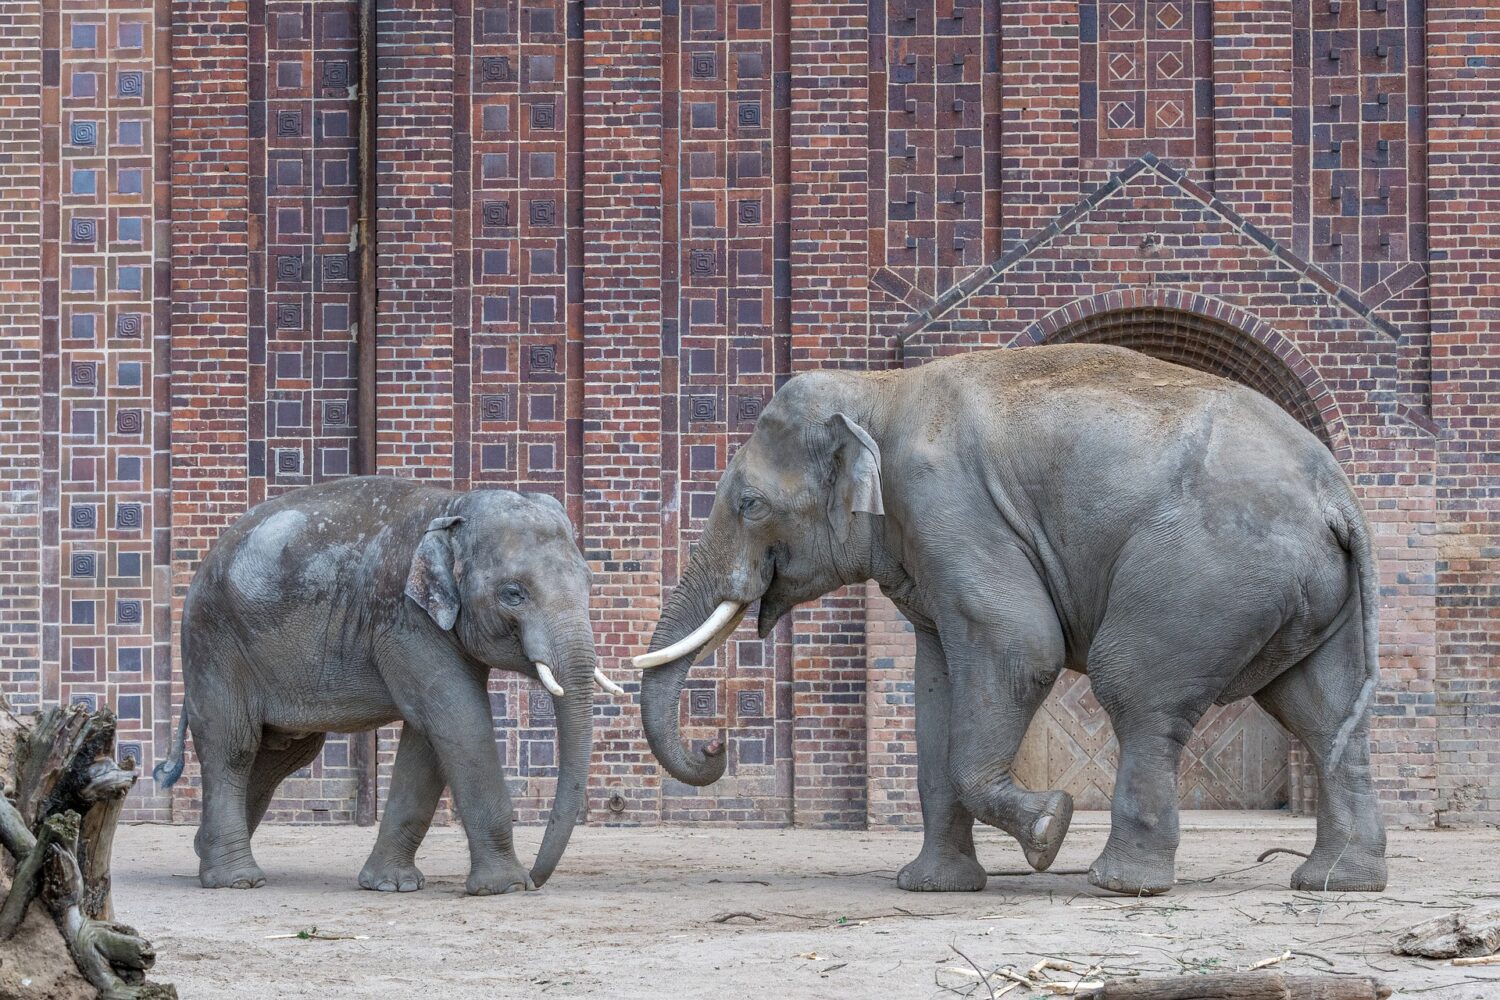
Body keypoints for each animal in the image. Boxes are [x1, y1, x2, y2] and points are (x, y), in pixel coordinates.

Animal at [153, 476, 621, 893]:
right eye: (513, 594)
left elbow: (429, 740)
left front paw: (392, 885)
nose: (538, 879)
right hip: (213, 641)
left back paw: (203, 849)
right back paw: (236, 880)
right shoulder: (403, 618)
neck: (452, 505)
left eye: (590, 582)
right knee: (233, 746)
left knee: (282, 753)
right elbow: (459, 721)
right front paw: (505, 887)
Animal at [633, 346, 1380, 899]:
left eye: (750, 505)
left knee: (1136, 689)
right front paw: (933, 887)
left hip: (1206, 571)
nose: (716, 744)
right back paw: (1335, 882)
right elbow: (936, 692)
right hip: (1304, 592)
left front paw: (1049, 831)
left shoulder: (948, 505)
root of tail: (1338, 496)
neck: (878, 389)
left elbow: (1021, 646)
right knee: (1322, 711)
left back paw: (1120, 884)